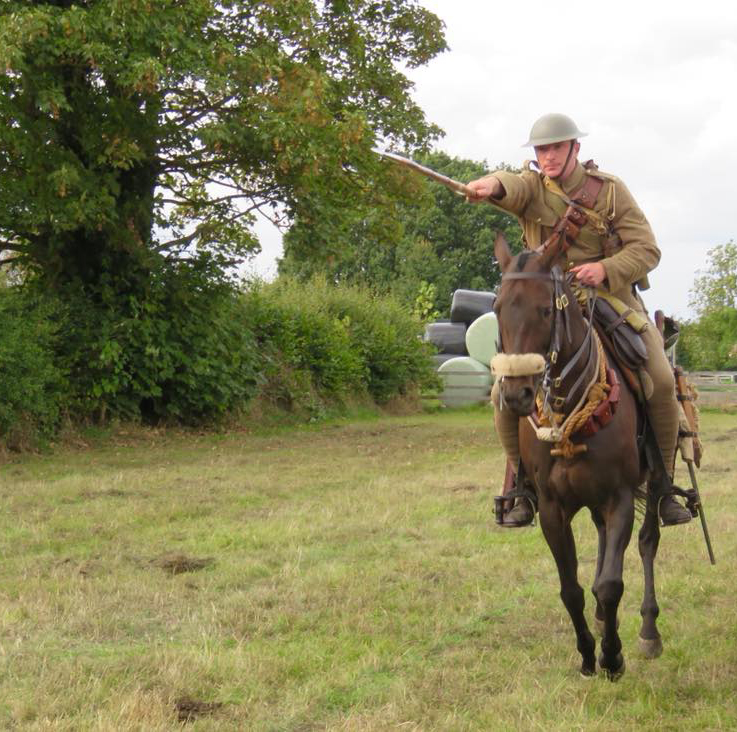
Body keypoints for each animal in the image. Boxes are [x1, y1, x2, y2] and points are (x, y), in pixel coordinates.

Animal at [491, 230, 665, 680]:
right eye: (497, 308)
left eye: (543, 309)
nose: (515, 395)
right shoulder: (553, 509)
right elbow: (571, 589)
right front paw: (588, 654)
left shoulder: (620, 497)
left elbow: (610, 584)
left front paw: (613, 657)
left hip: (654, 481)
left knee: (648, 542)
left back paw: (648, 631)